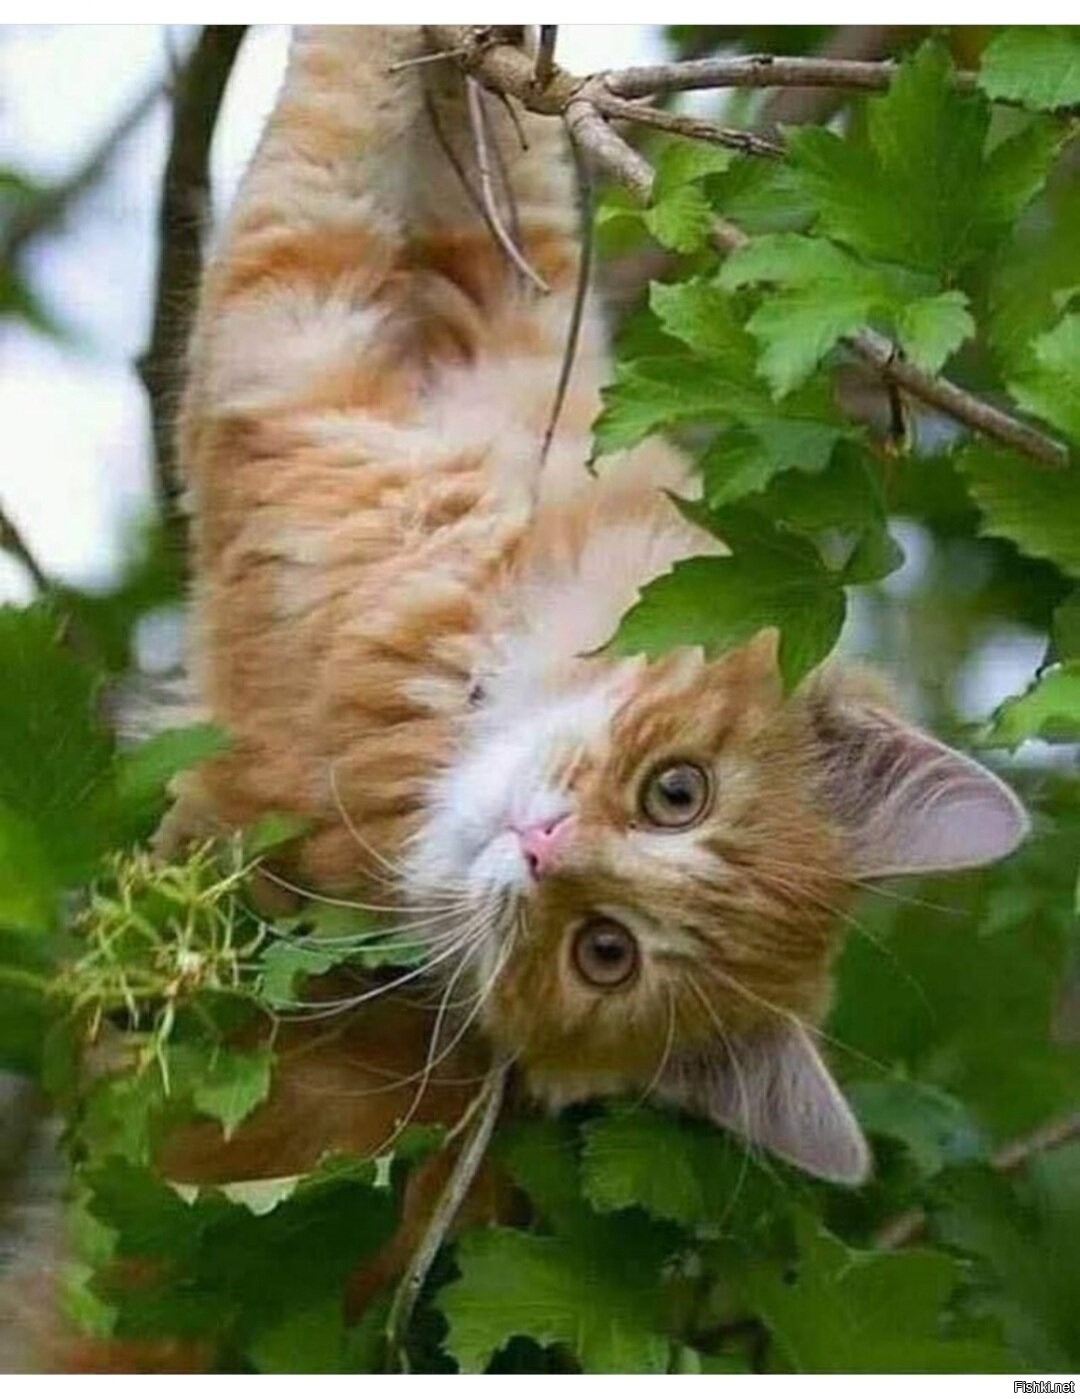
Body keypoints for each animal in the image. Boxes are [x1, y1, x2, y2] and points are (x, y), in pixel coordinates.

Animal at [167, 24, 1029, 1189]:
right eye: (679, 792)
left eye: (604, 952)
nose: (544, 845)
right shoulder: (513, 313)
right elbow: (519, 168)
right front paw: (495, 65)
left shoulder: (286, 332)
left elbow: (324, 124)